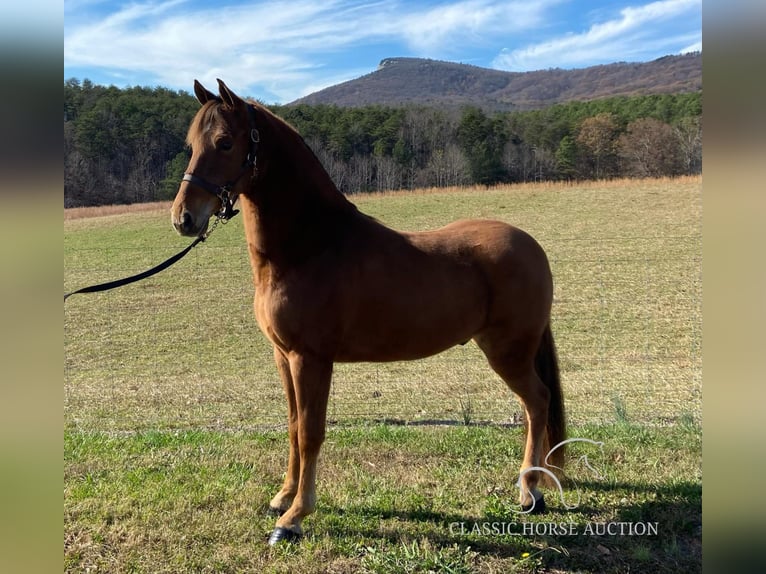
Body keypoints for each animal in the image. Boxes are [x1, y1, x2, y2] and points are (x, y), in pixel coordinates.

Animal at [171, 79, 568, 548]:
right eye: (191, 144)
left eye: (225, 142)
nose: (184, 218)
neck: (312, 246)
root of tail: (532, 246)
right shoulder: (283, 357)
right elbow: (292, 426)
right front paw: (282, 496)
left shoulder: (311, 360)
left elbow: (310, 433)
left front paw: (294, 517)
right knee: (533, 407)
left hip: (509, 352)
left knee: (538, 401)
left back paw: (530, 490)